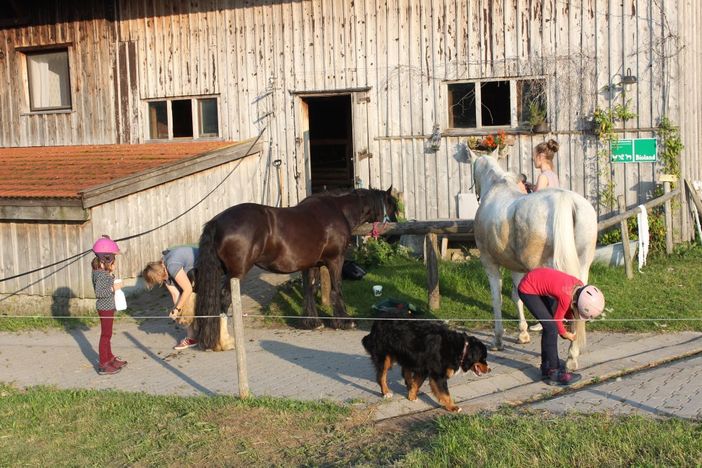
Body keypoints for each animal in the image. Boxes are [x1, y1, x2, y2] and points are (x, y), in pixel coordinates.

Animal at [195, 186, 398, 348]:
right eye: (393, 206)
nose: (394, 237)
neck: (338, 210)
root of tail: (217, 221)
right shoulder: (335, 260)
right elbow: (336, 290)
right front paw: (345, 321)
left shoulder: (311, 264)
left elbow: (310, 289)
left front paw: (312, 322)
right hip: (237, 273)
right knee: (224, 298)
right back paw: (225, 342)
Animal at [472, 150, 600, 370]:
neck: (497, 187)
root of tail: (566, 200)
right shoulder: (516, 268)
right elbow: (516, 297)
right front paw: (522, 334)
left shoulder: (490, 264)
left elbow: (497, 299)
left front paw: (498, 340)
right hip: (582, 266)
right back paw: (572, 355)